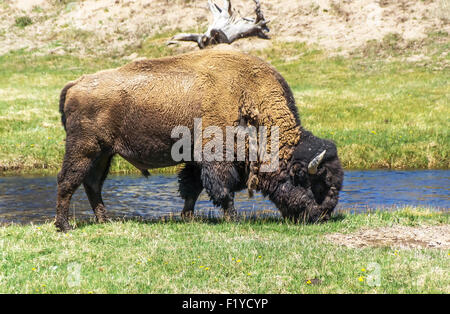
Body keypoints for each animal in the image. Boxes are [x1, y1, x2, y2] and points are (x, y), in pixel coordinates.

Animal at [57, 49, 344, 231]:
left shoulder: (195, 160)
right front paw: (233, 219)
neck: (247, 94)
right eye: (318, 184)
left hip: (103, 153)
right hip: (84, 148)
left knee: (92, 184)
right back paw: (64, 226)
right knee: (68, 180)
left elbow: (192, 188)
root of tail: (76, 84)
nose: (323, 216)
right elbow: (221, 190)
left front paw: (188, 218)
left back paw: (104, 221)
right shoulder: (215, 158)